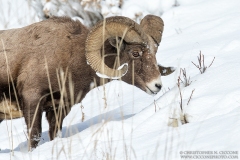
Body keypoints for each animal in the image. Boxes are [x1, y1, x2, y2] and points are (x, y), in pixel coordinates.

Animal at [0, 15, 174, 149]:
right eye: (135, 53)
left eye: (154, 53)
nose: (157, 85)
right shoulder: (33, 101)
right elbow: (34, 137)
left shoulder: (58, 109)